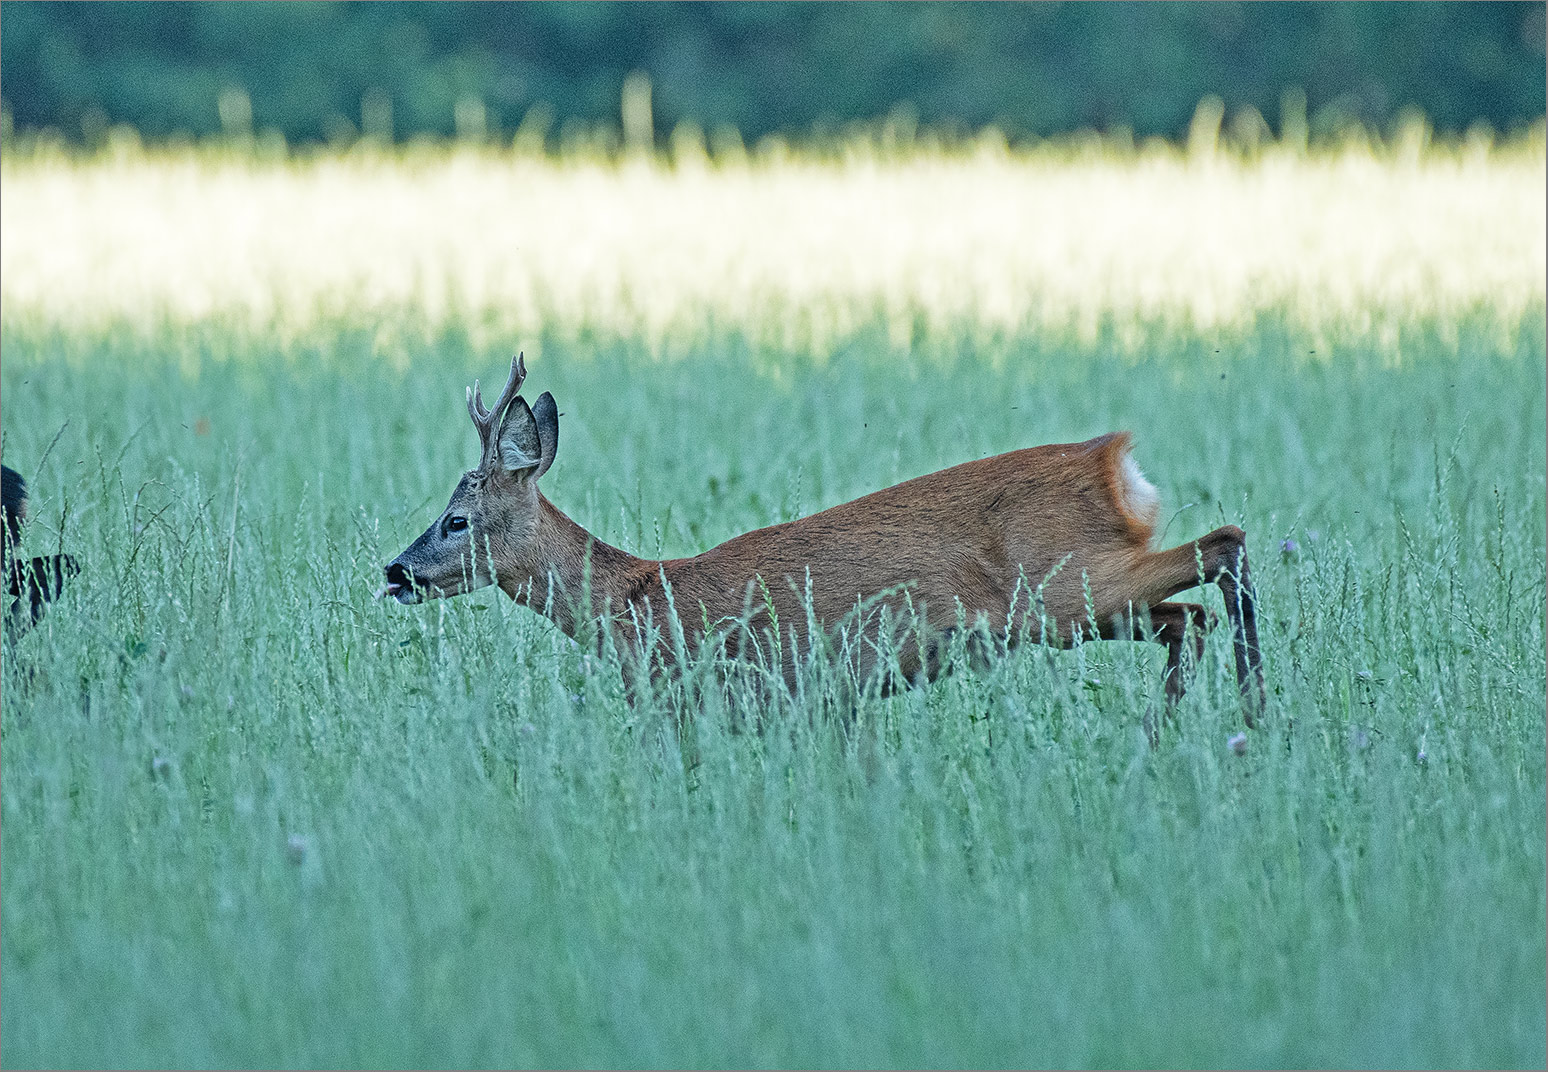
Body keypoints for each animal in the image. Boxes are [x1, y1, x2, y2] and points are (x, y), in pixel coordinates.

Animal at [380, 355, 1263, 723]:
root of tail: (1116, 461)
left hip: (1064, 587)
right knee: (1189, 613)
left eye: (456, 520)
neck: (634, 604)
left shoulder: (719, 693)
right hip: (1080, 607)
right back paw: (1181, 728)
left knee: (1222, 547)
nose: (395, 569)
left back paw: (1247, 711)